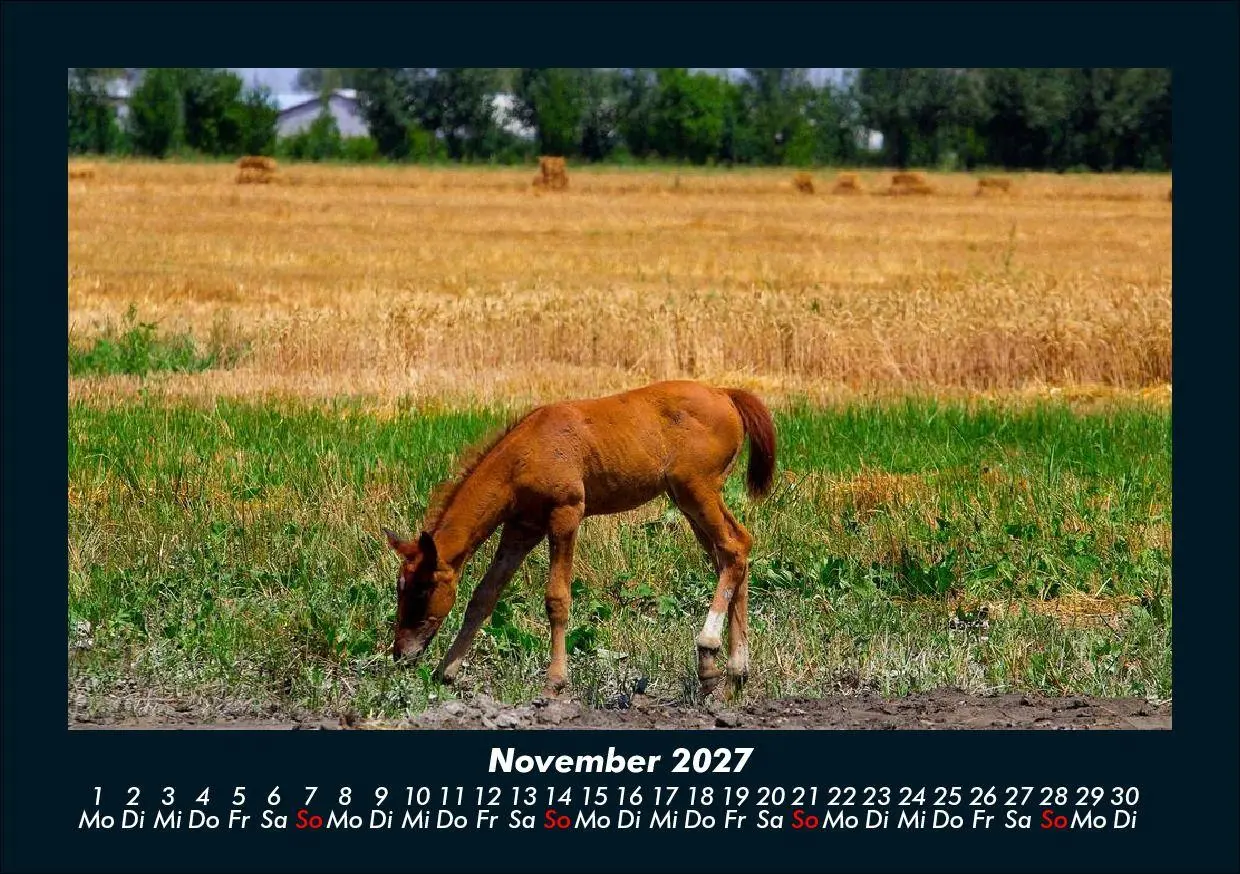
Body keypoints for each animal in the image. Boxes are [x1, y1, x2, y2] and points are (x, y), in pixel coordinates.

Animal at [382, 379, 777, 700]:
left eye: (422, 590)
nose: (400, 653)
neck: (525, 453)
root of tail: (724, 393)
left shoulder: (566, 513)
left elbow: (557, 598)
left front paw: (554, 682)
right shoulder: (521, 528)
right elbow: (484, 596)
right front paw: (445, 671)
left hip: (697, 490)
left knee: (734, 548)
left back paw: (709, 651)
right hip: (687, 500)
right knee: (732, 555)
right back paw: (732, 675)